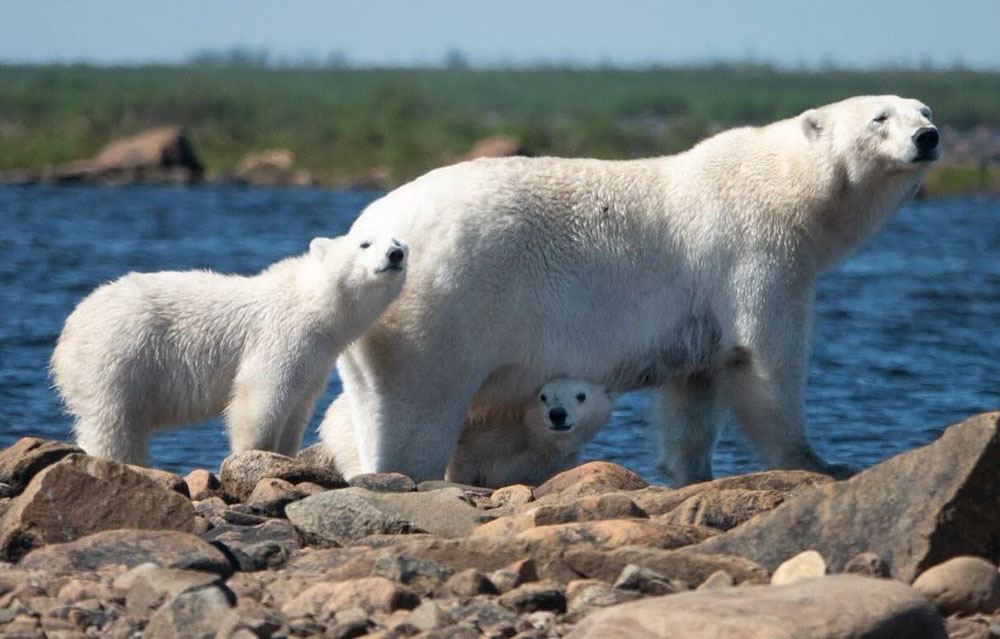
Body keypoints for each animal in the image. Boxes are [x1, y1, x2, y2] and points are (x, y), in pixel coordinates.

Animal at [50, 234, 408, 465]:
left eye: (398, 242)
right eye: (365, 243)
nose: (395, 255)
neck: (312, 303)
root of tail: (69, 329)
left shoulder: (317, 358)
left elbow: (298, 406)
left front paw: (286, 454)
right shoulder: (281, 337)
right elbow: (260, 396)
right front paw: (257, 454)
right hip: (120, 356)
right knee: (115, 422)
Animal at [445, 378, 613, 487]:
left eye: (581, 396)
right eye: (543, 396)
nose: (557, 414)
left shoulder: (558, 461)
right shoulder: (479, 439)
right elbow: (462, 466)